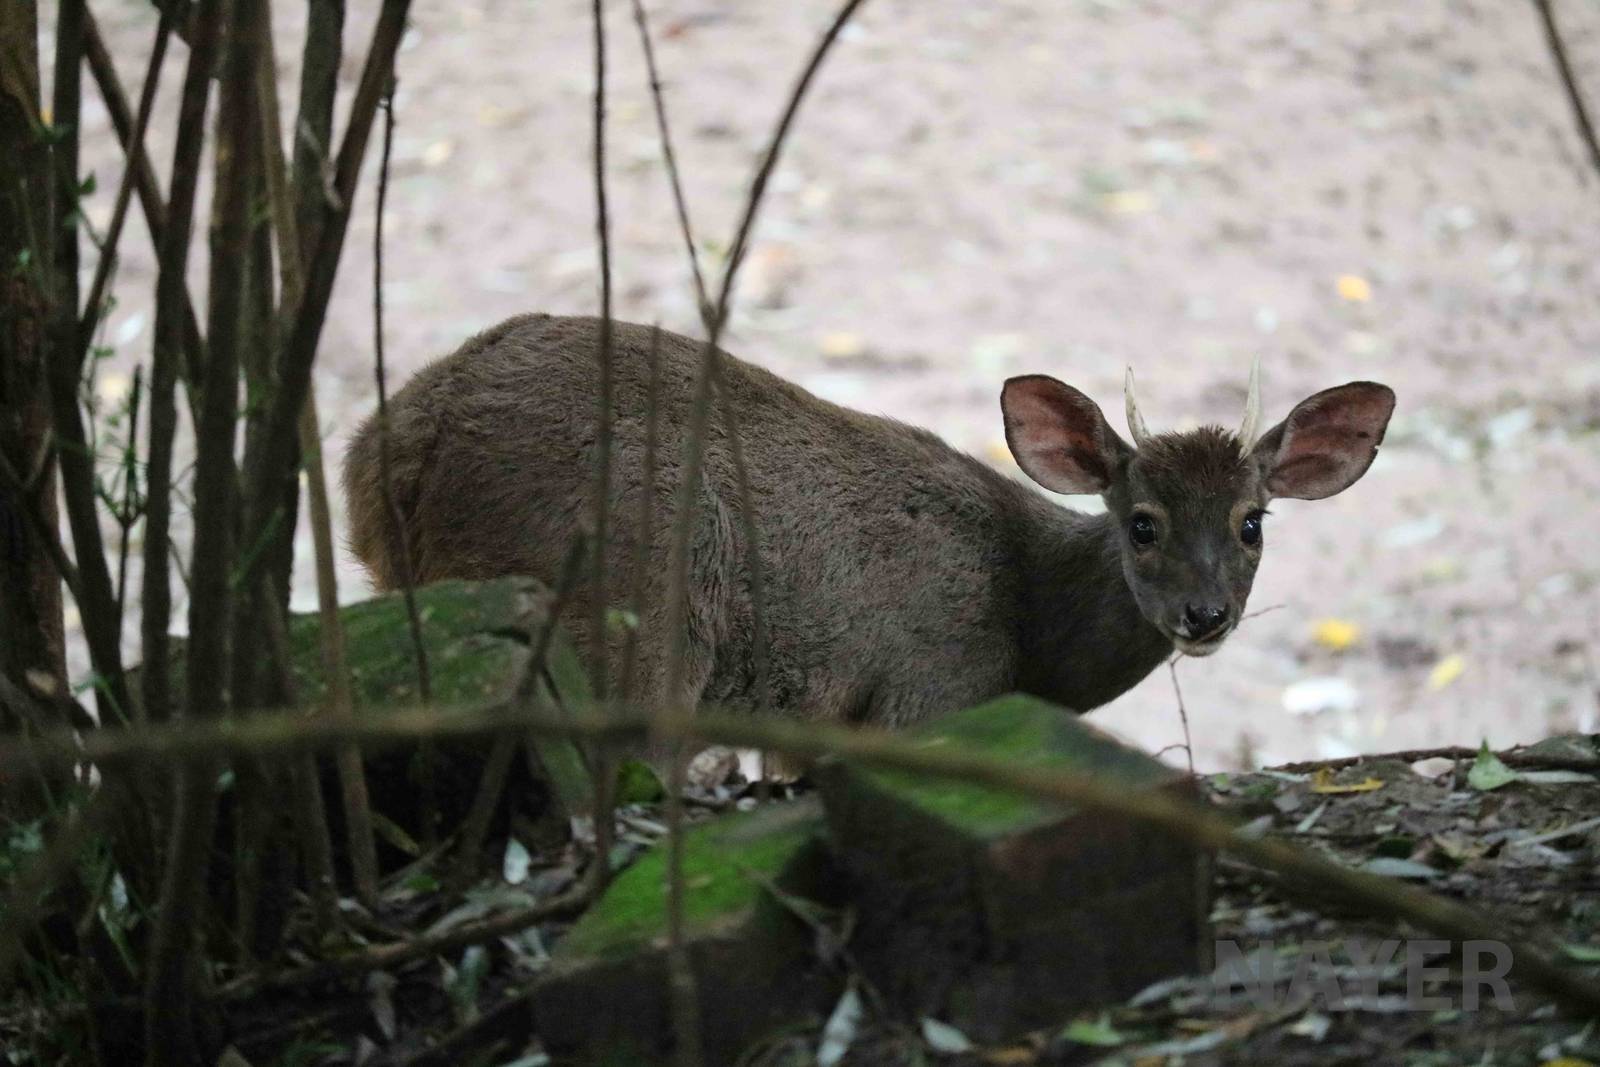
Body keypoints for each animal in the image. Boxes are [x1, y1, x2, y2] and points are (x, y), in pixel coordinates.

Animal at [344, 313, 1394, 728]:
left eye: (1253, 521)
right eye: (1141, 522)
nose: (1205, 615)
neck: (1027, 642)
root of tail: (386, 451)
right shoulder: (924, 691)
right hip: (626, 611)